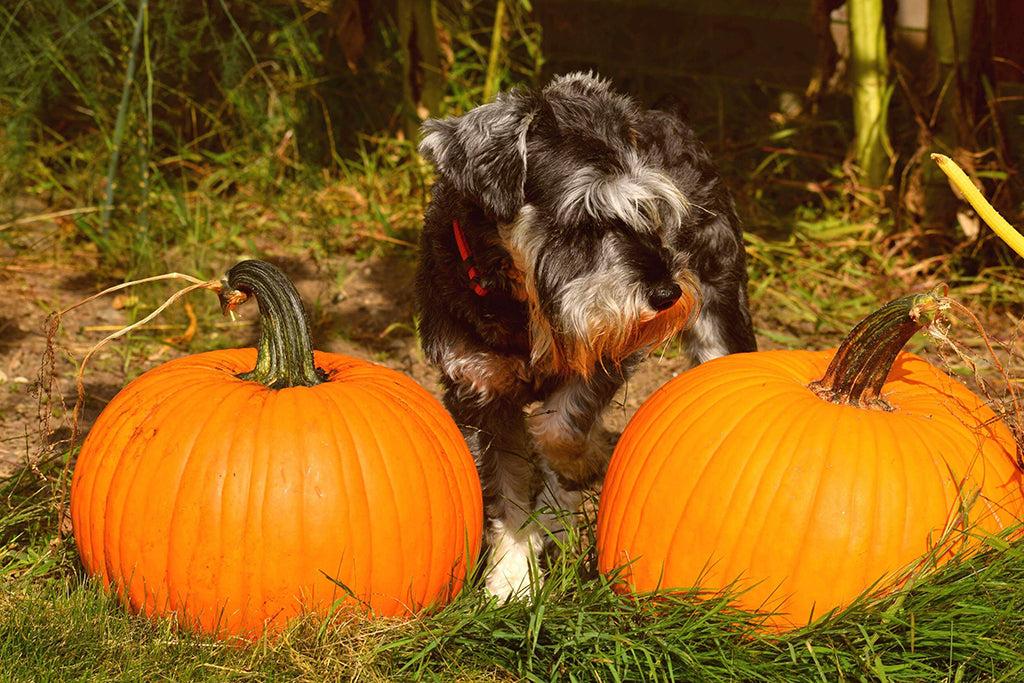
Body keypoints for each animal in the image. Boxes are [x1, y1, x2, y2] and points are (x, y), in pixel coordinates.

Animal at [411, 72, 757, 602]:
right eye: (583, 220)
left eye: (652, 210)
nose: (666, 293)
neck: (518, 301)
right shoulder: (478, 393)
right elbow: (506, 490)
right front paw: (511, 576)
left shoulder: (605, 357)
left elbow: (561, 428)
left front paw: (581, 465)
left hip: (719, 311)